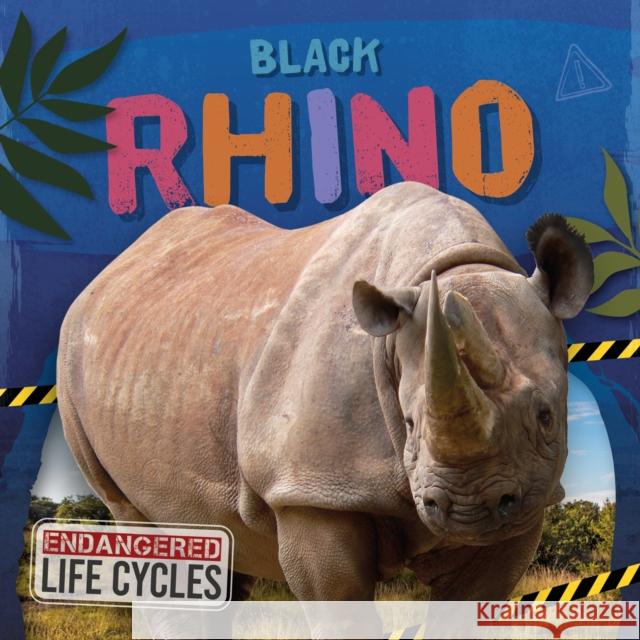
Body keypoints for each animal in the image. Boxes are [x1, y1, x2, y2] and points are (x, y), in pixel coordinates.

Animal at [57, 182, 593, 603]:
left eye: (546, 416)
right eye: (411, 424)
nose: (467, 509)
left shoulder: (526, 506)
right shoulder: (309, 489)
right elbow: (337, 593)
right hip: (72, 358)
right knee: (132, 516)